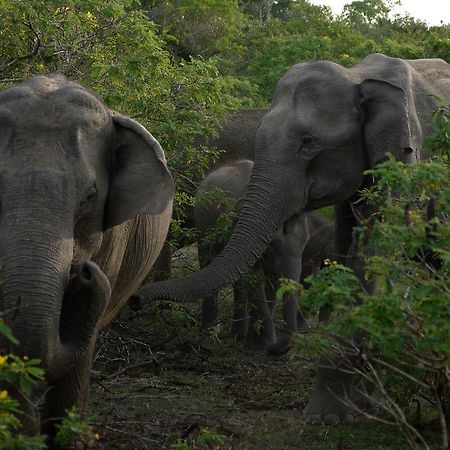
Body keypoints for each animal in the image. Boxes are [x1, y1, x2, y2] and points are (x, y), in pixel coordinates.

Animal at [195, 160, 336, 354]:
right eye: (271, 245)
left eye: (305, 243)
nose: (276, 350)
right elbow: (255, 279)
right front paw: (262, 345)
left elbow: (272, 280)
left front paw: (260, 343)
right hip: (201, 228)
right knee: (208, 262)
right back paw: (209, 334)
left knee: (239, 283)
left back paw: (238, 335)